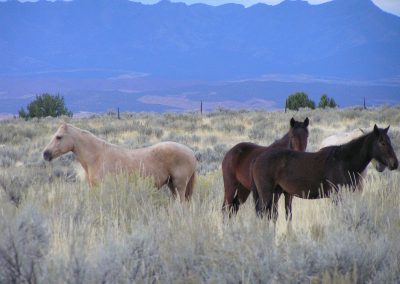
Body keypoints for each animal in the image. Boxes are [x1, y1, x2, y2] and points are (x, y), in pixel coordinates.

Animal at [43, 123, 197, 201]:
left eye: (59, 137)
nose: (45, 154)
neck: (97, 156)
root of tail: (191, 153)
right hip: (172, 185)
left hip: (179, 185)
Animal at [252, 125, 398, 221]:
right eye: (382, 142)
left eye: (389, 141)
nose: (395, 163)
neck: (343, 161)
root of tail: (258, 158)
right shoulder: (337, 196)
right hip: (266, 195)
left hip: (276, 194)